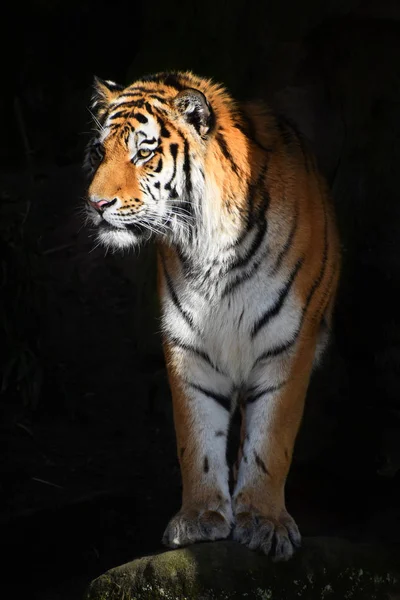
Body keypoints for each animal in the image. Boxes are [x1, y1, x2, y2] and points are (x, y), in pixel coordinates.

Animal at [84, 71, 340, 564]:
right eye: (98, 153)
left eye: (143, 152)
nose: (96, 204)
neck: (211, 244)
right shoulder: (189, 346)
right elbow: (197, 436)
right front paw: (200, 517)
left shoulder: (287, 343)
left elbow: (270, 441)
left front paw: (265, 522)